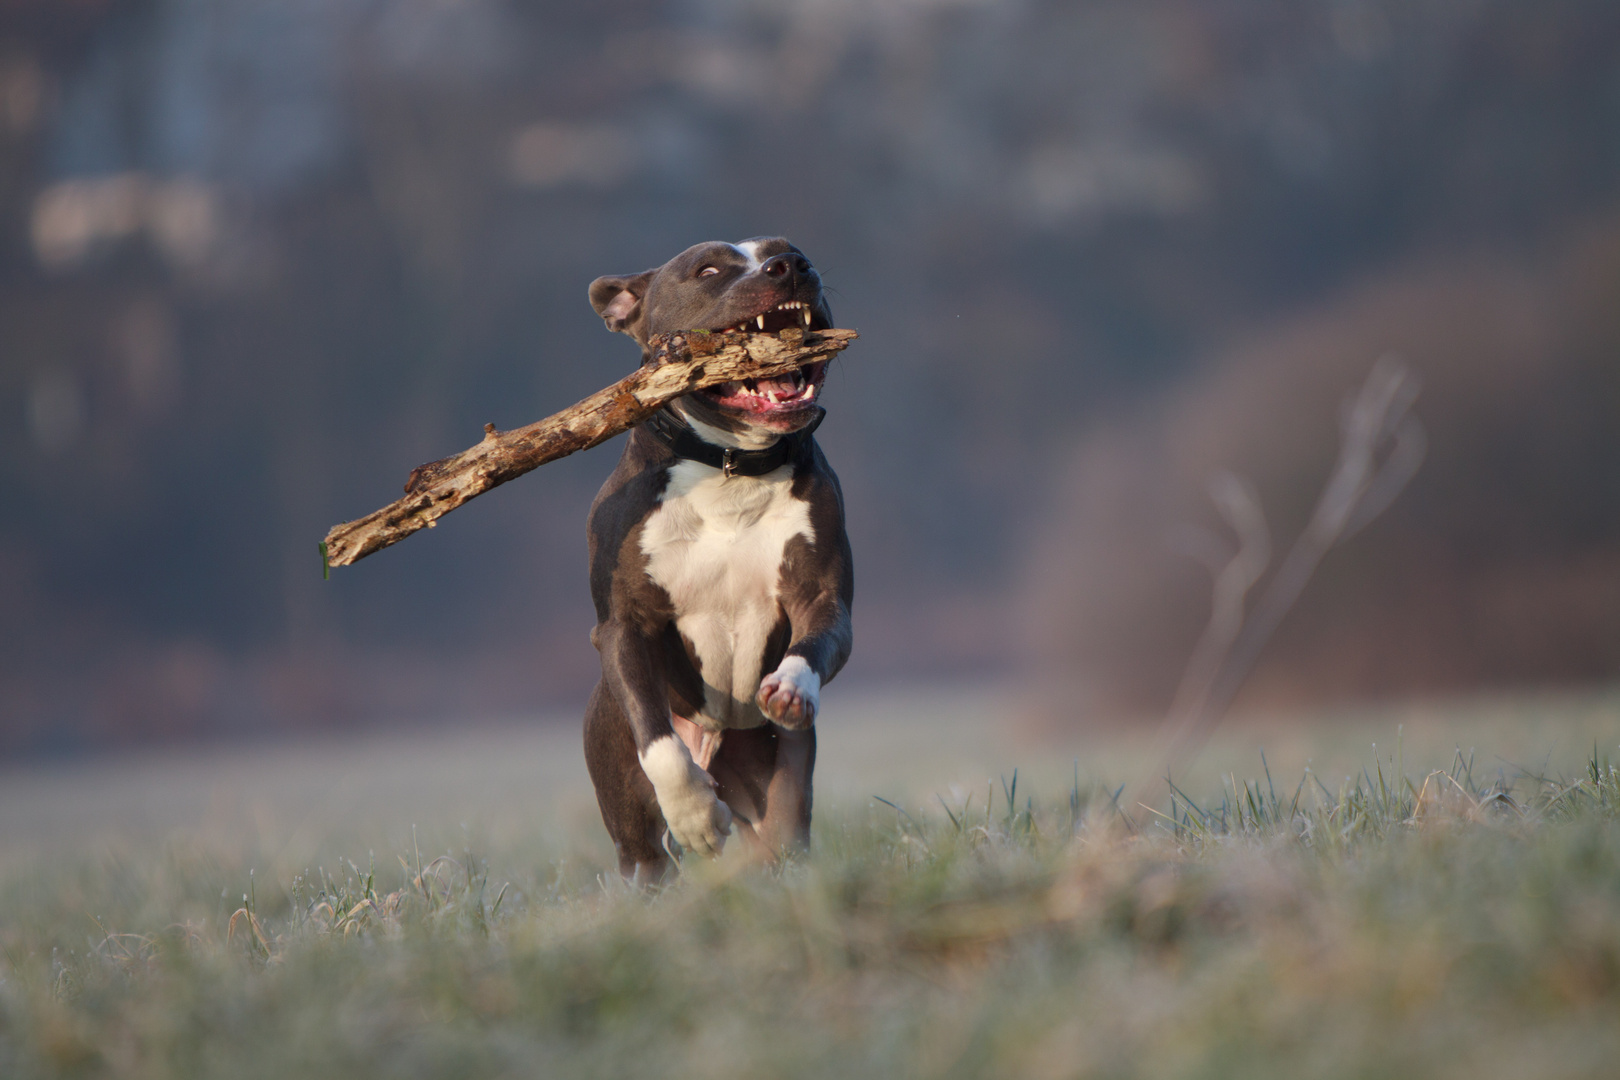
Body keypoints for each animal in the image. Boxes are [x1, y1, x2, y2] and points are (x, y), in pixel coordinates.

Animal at [586, 236, 861, 880]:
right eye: (707, 270)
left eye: (792, 250)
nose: (790, 267)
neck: (730, 469)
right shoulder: (623, 626)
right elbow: (658, 739)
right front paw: (694, 816)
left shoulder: (822, 596)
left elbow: (815, 641)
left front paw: (790, 688)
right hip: (635, 840)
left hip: (774, 804)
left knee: (780, 841)